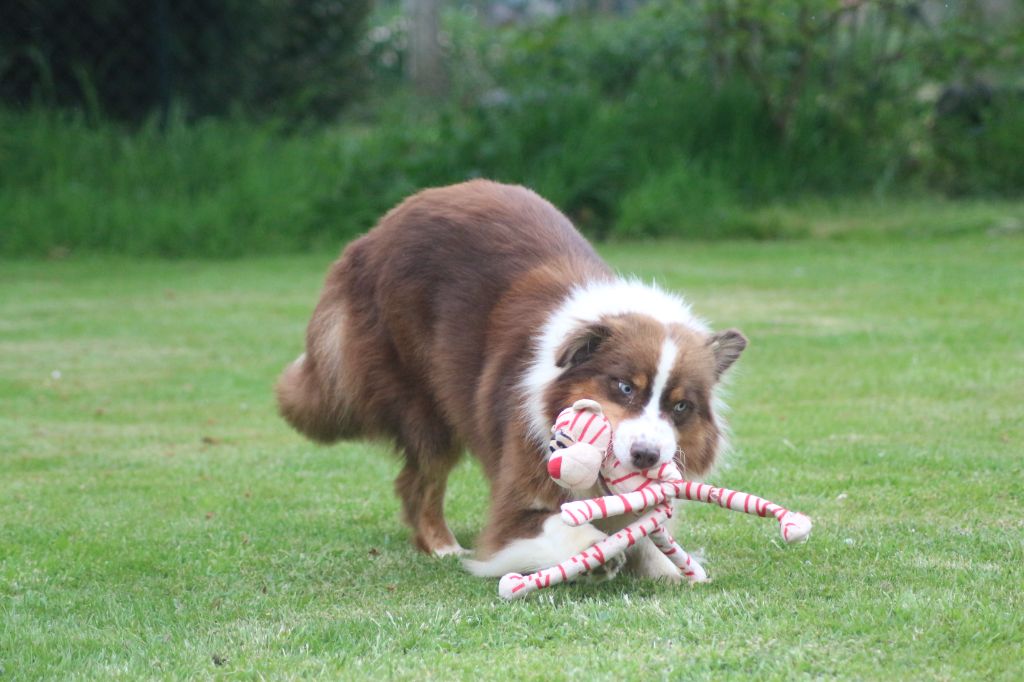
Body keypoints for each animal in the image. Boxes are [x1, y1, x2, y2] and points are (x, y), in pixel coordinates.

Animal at [276, 179, 749, 577]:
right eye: (625, 387)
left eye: (681, 406)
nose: (646, 456)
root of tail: (369, 236)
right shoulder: (521, 487)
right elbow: (556, 526)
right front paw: (594, 551)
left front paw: (665, 563)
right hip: (422, 400)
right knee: (419, 479)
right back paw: (443, 546)